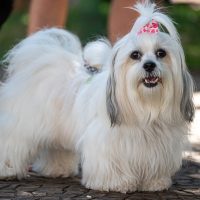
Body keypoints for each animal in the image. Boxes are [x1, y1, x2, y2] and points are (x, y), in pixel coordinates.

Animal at [0, 1, 195, 192]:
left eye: (161, 53)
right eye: (135, 55)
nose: (149, 65)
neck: (145, 107)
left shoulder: (160, 146)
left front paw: (154, 183)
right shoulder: (107, 143)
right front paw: (116, 183)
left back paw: (57, 169)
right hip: (22, 124)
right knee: (11, 142)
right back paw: (7, 170)